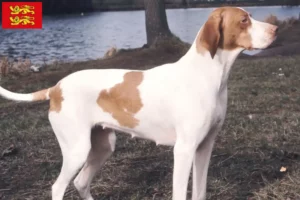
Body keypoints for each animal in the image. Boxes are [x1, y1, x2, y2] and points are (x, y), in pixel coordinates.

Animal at [0, 6, 276, 200]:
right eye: (244, 20)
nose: (275, 29)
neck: (207, 74)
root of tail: (56, 88)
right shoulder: (184, 150)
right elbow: (180, 193)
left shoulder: (204, 147)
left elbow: (200, 192)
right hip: (77, 150)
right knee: (58, 187)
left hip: (102, 147)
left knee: (80, 182)